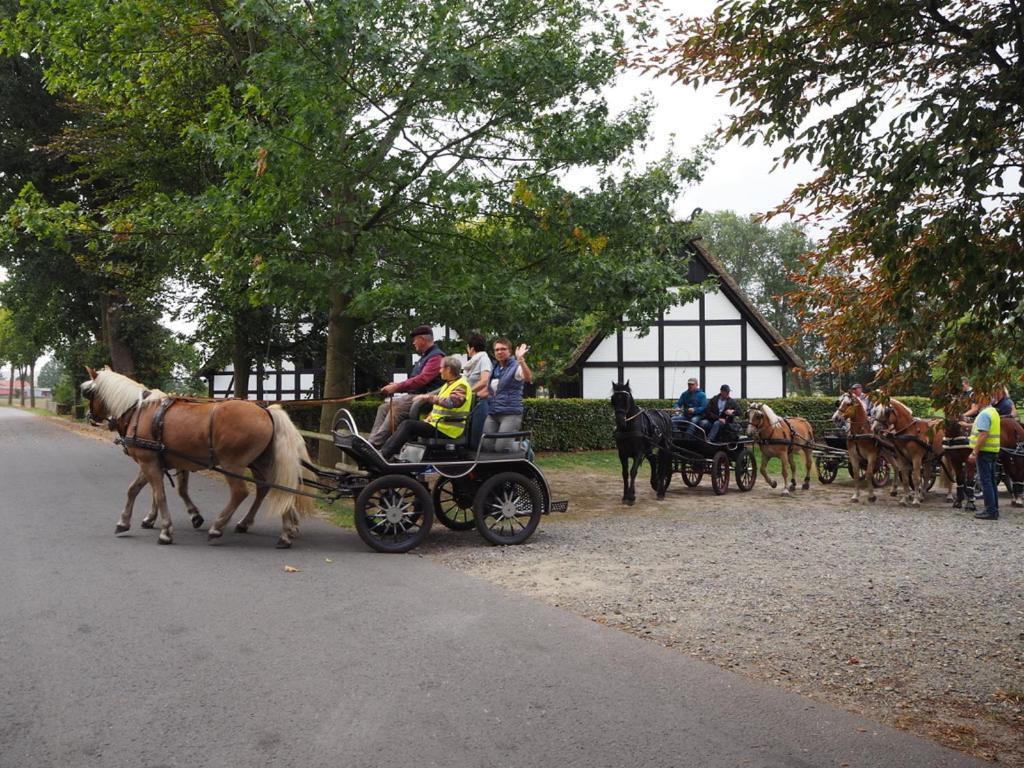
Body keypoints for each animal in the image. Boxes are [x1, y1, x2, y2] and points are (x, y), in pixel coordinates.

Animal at [82, 366, 311, 548]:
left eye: (89, 393)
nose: (89, 417)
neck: (139, 410)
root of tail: (266, 411)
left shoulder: (149, 462)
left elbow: (159, 494)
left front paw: (165, 531)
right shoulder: (158, 463)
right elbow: (136, 490)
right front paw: (127, 522)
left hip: (233, 464)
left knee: (241, 493)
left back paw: (218, 528)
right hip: (262, 462)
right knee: (276, 488)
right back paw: (283, 532)